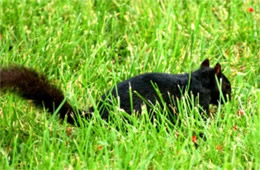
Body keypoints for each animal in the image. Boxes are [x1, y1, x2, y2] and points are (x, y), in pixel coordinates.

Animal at [0, 59, 232, 125]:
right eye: (227, 86)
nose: (230, 98)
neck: (198, 80)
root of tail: (95, 113)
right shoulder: (198, 101)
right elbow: (200, 117)